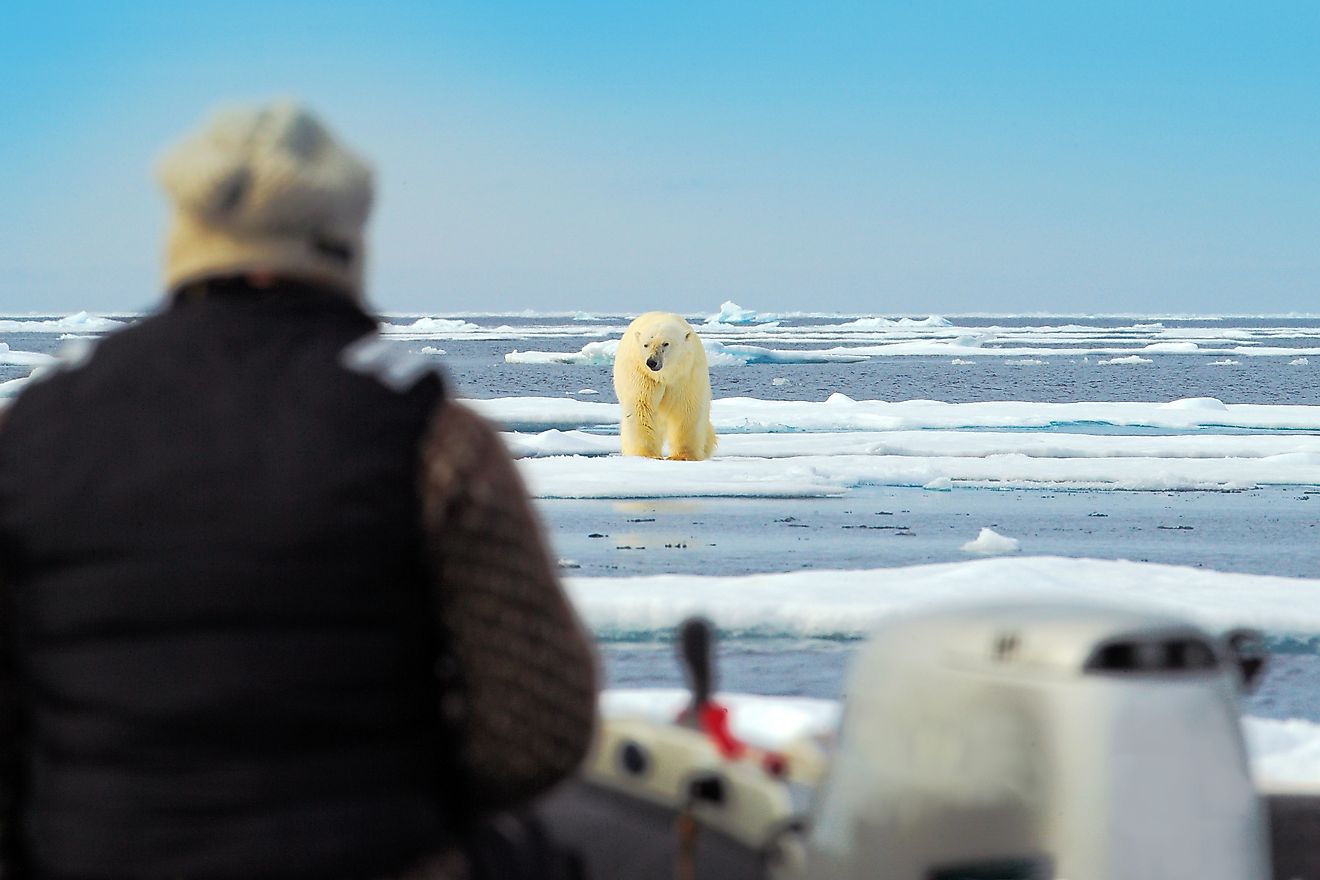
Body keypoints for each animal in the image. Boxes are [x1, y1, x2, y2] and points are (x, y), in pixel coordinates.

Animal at [612, 311, 718, 461]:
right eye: (646, 345)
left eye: (665, 343)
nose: (652, 362)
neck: (665, 375)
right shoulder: (642, 374)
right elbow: (641, 406)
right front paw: (648, 454)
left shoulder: (686, 375)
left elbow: (686, 409)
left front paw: (682, 456)